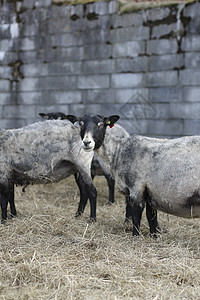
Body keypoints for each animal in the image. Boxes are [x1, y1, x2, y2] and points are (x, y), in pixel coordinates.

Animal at [66, 113, 200, 238]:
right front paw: (154, 236)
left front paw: (135, 236)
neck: (118, 151)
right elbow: (151, 215)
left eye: (101, 125)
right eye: (81, 124)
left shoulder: (137, 188)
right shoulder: (150, 191)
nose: (87, 143)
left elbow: (136, 215)